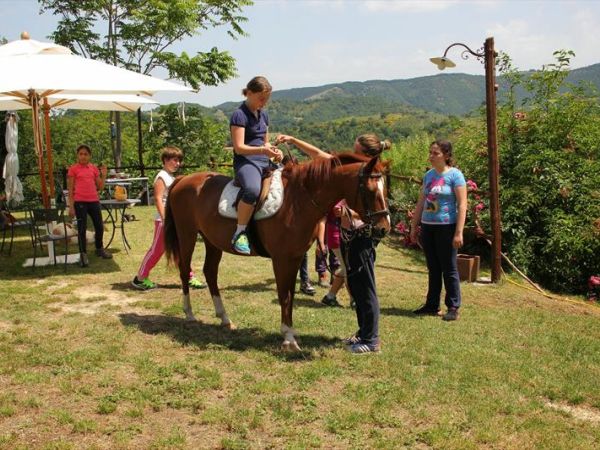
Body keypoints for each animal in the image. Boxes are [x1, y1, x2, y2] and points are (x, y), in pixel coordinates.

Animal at [164, 153, 392, 350]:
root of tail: (183, 180)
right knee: (184, 270)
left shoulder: (295, 257)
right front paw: (289, 339)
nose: (384, 228)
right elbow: (284, 295)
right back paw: (189, 313)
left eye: (385, 190)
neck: (298, 200)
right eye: (370, 191)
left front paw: (290, 332)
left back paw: (224, 318)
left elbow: (290, 294)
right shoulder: (281, 259)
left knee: (210, 272)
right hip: (187, 234)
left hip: (212, 242)